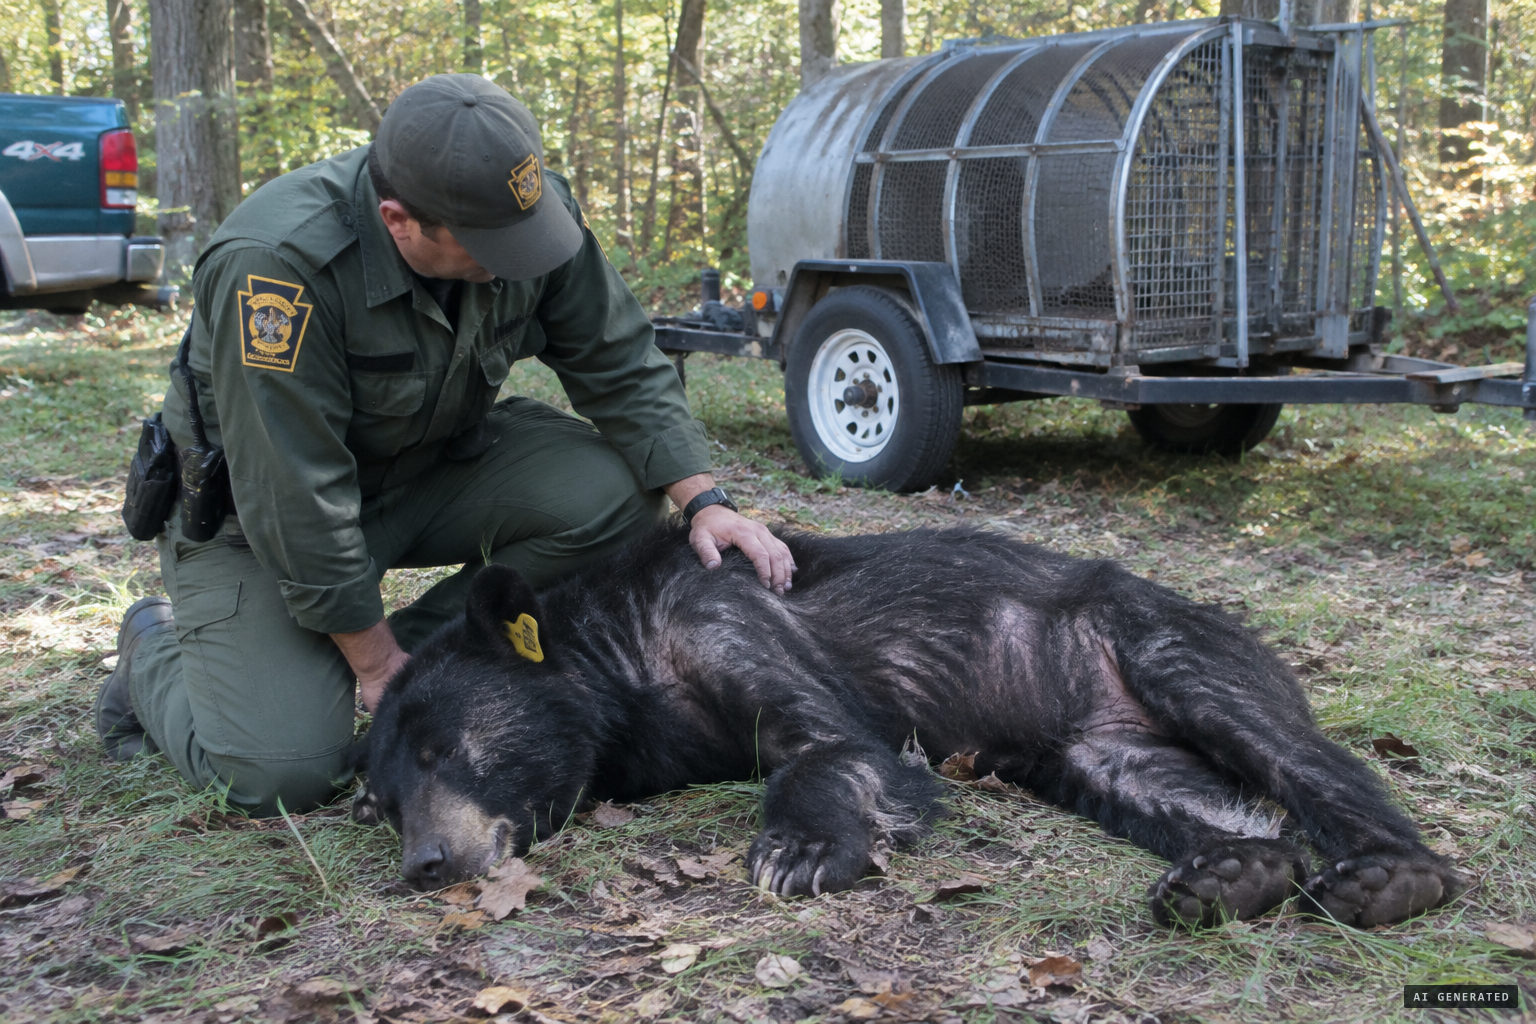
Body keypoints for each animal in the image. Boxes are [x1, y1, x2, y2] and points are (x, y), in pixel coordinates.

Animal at [354, 525, 1462, 929]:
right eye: (382, 801)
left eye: (443, 746)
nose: (422, 865)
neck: (621, 663)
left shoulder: (723, 613)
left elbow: (831, 745)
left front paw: (802, 848)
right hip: (1105, 755)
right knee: (1219, 808)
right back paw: (1236, 872)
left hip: (1165, 646)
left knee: (1302, 759)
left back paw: (1391, 874)